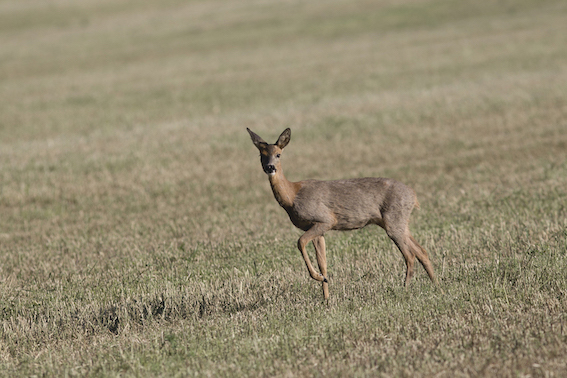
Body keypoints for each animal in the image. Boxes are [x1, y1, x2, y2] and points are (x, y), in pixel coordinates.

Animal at [248, 128, 440, 300]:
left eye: (278, 154)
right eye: (261, 155)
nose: (270, 167)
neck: (293, 195)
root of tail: (413, 195)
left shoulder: (325, 219)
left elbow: (300, 242)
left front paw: (318, 278)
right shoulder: (318, 228)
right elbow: (323, 263)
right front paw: (326, 297)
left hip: (394, 220)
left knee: (410, 255)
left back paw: (405, 289)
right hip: (398, 221)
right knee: (421, 251)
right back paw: (436, 285)